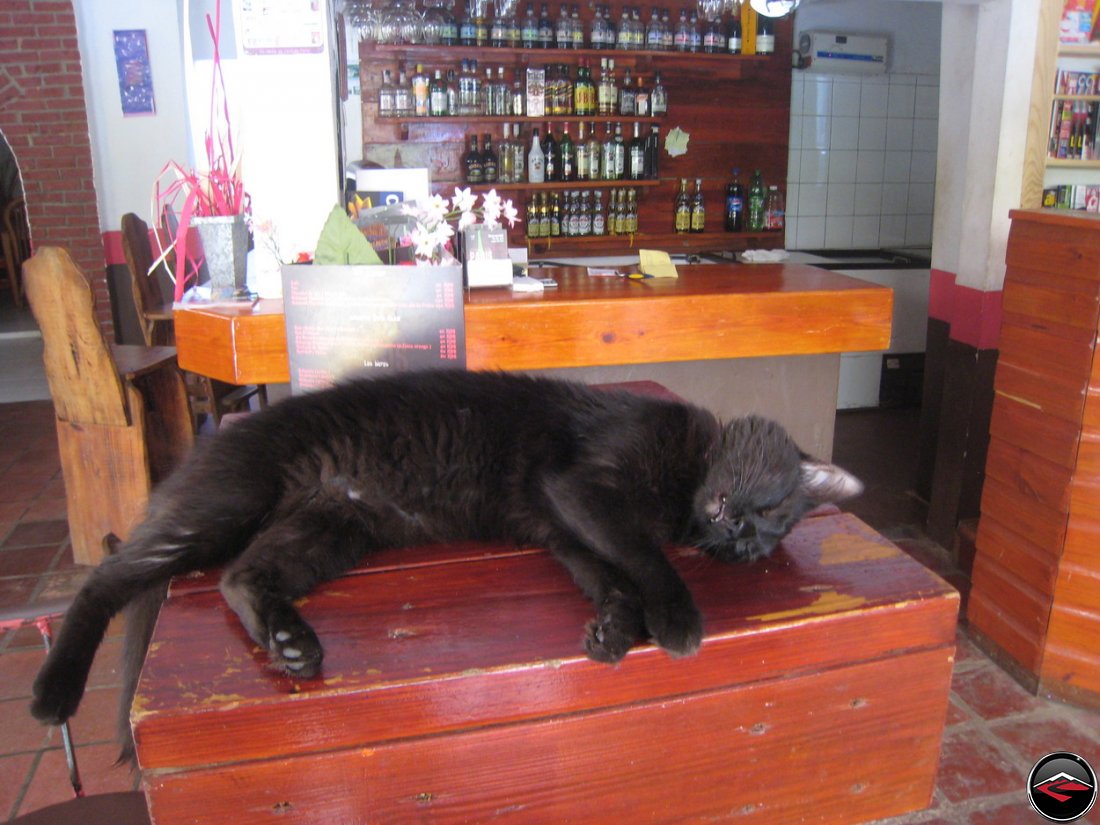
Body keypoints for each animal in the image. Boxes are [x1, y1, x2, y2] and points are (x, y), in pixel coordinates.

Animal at [30, 371, 862, 761]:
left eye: (758, 541)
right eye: (768, 504)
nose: (736, 534)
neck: (686, 481)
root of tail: (216, 437)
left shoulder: (566, 529)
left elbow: (612, 574)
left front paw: (613, 630)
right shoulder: (583, 487)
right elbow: (643, 556)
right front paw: (680, 618)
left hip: (332, 529)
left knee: (240, 577)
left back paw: (291, 644)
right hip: (229, 504)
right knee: (107, 577)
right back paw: (54, 689)